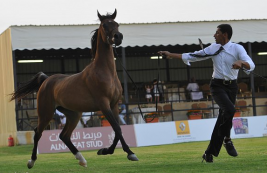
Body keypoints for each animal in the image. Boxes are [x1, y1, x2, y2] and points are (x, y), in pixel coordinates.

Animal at [9, 8, 139, 168]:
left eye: (117, 24)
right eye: (104, 25)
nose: (118, 37)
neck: (105, 72)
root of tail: (46, 80)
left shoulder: (114, 105)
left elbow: (118, 130)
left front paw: (104, 150)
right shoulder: (104, 105)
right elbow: (117, 128)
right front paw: (129, 153)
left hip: (73, 114)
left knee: (64, 136)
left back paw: (81, 159)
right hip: (46, 113)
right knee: (37, 133)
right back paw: (31, 161)